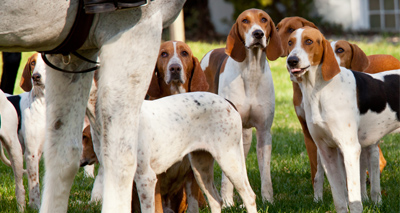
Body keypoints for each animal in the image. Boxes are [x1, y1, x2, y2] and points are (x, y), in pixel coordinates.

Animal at [202, 8, 282, 205]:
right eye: (245, 20)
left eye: (264, 20)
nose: (258, 33)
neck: (251, 71)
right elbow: (226, 177)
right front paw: (227, 201)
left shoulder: (264, 132)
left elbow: (265, 173)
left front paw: (268, 200)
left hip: (244, 137)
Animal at [288, 26, 400, 211]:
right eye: (290, 42)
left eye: (308, 41)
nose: (292, 61)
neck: (319, 90)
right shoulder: (327, 152)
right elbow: (340, 199)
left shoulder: (350, 150)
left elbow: (354, 198)